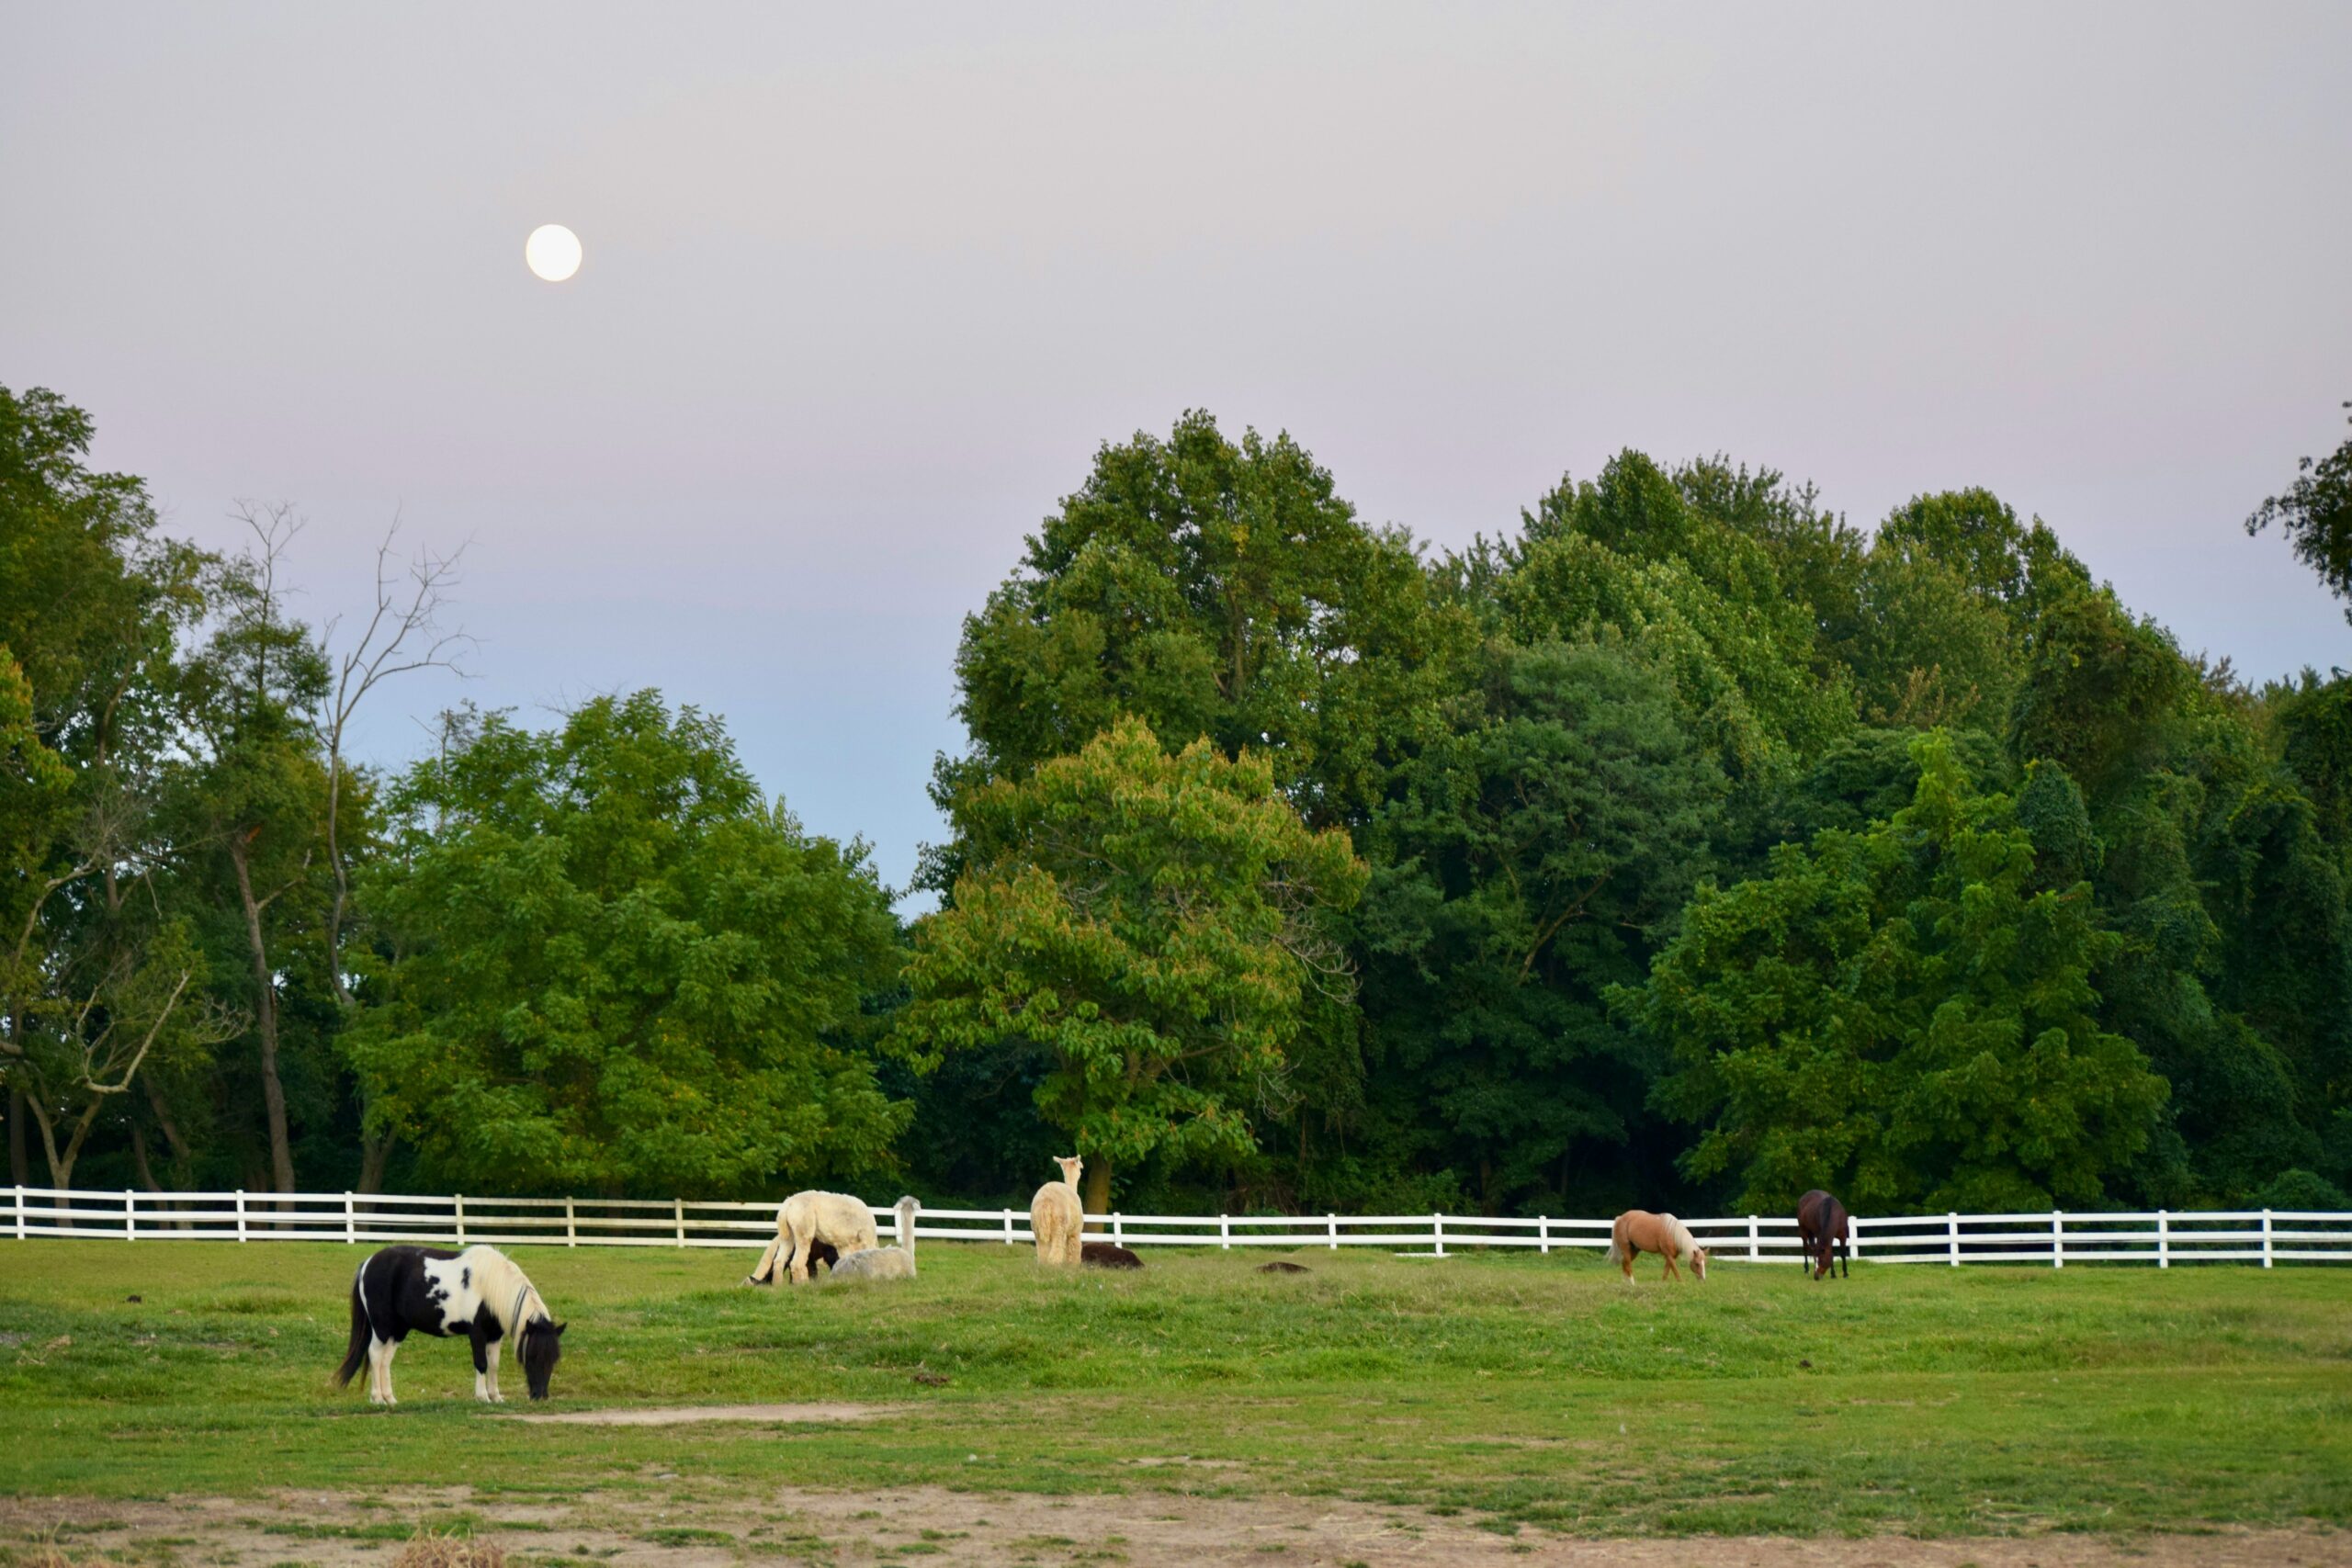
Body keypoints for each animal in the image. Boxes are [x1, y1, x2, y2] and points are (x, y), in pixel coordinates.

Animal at [331, 1250, 564, 1410]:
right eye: (531, 1356)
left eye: (554, 1359)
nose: (540, 1395)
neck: (490, 1286)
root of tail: (368, 1263)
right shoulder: (477, 1333)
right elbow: (481, 1363)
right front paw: (482, 1397)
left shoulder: (494, 1335)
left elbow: (494, 1366)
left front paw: (496, 1396)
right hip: (382, 1328)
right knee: (375, 1356)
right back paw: (377, 1398)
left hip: (398, 1330)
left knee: (385, 1361)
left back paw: (390, 1398)